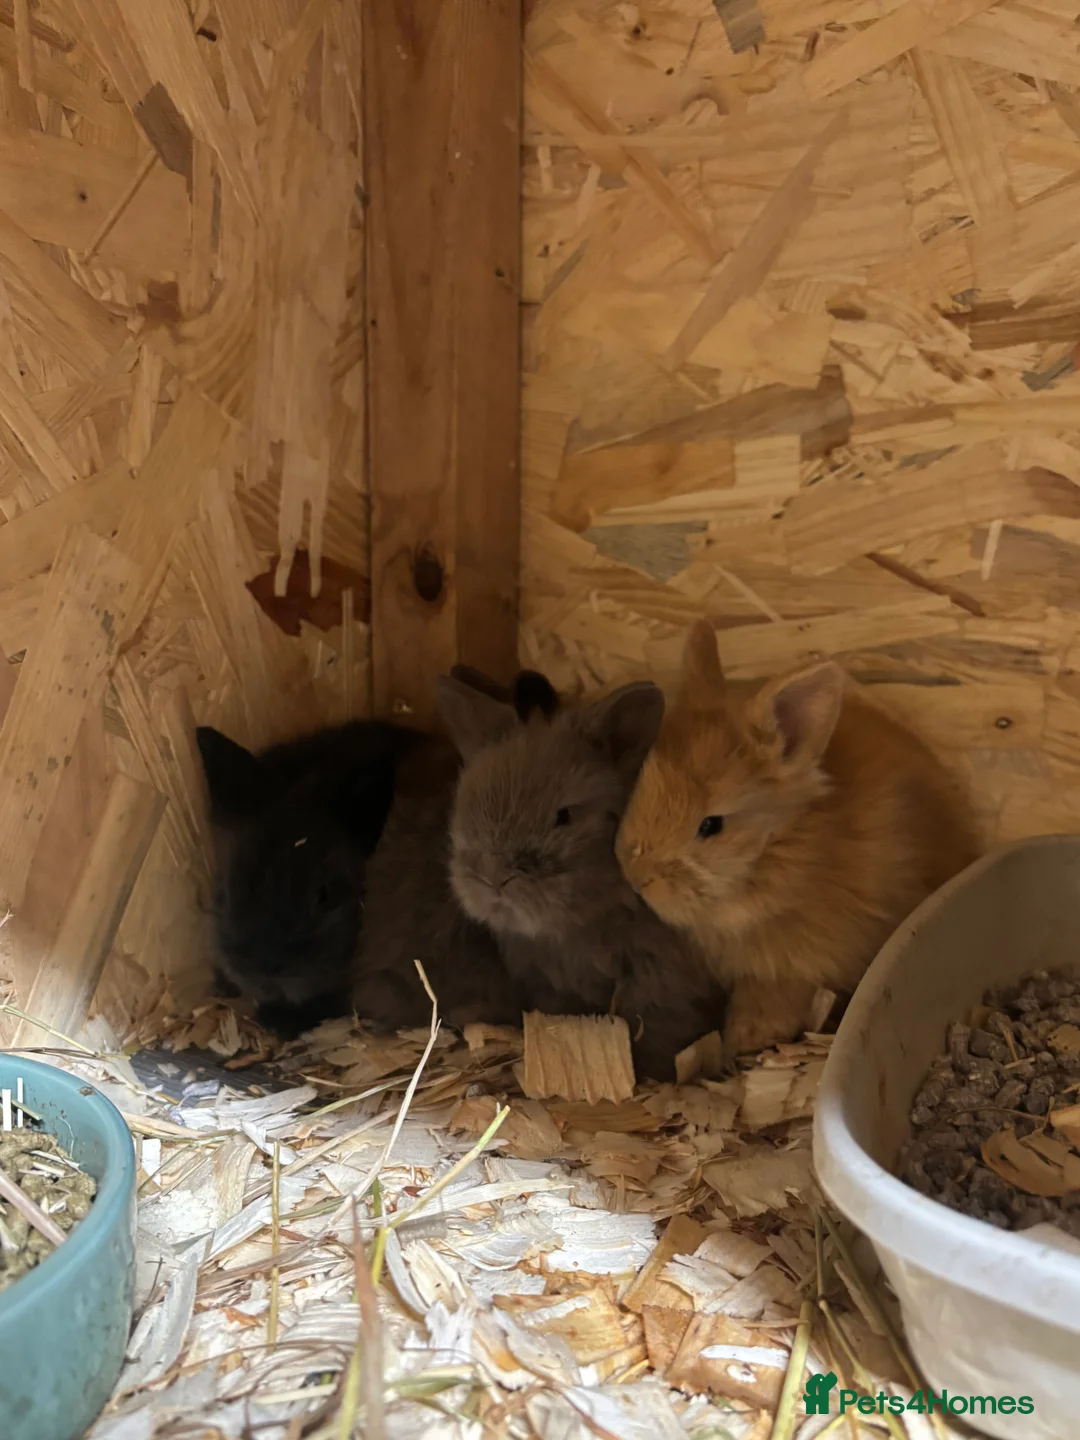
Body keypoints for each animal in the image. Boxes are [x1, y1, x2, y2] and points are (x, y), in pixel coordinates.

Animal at [616, 619, 980, 1060]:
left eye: (711, 825)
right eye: (642, 780)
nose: (637, 877)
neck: (778, 851)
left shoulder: (796, 967)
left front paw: (746, 1039)